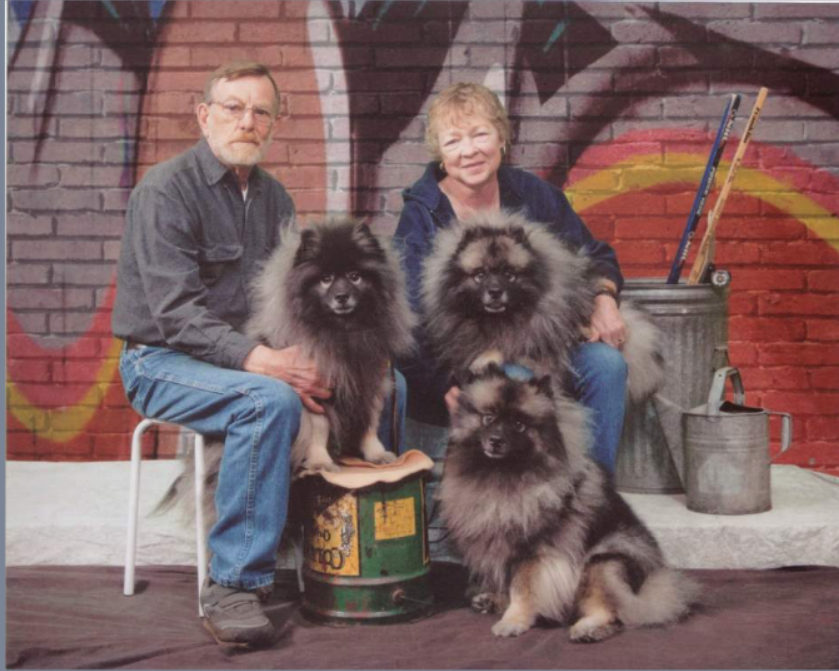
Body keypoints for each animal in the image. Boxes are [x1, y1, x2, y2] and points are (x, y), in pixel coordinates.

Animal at [424, 210, 668, 402]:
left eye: (509, 274)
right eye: (480, 275)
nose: (495, 292)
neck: (497, 319)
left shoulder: (533, 331)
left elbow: (510, 343)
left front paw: (486, 356)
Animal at [440, 360, 696, 644]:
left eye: (519, 424)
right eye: (489, 418)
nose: (496, 440)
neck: (503, 474)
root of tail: (653, 582)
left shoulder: (534, 553)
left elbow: (522, 589)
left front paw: (513, 621)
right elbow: (509, 583)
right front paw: (502, 602)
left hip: (602, 563)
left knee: (612, 611)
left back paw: (587, 629)